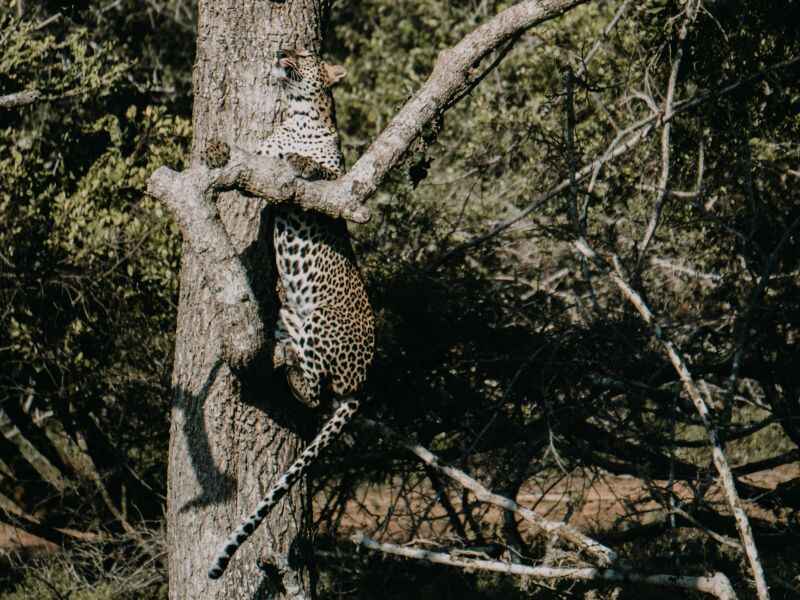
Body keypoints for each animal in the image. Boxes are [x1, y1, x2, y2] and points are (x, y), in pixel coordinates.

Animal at [211, 49, 376, 580]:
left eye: (306, 55)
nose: (283, 51)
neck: (297, 115)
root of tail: (362, 385)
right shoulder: (260, 157)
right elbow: (253, 157)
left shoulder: (338, 185)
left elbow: (318, 172)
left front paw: (302, 160)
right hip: (291, 318)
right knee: (310, 384)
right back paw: (283, 360)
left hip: (321, 322)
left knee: (317, 389)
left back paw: (289, 370)